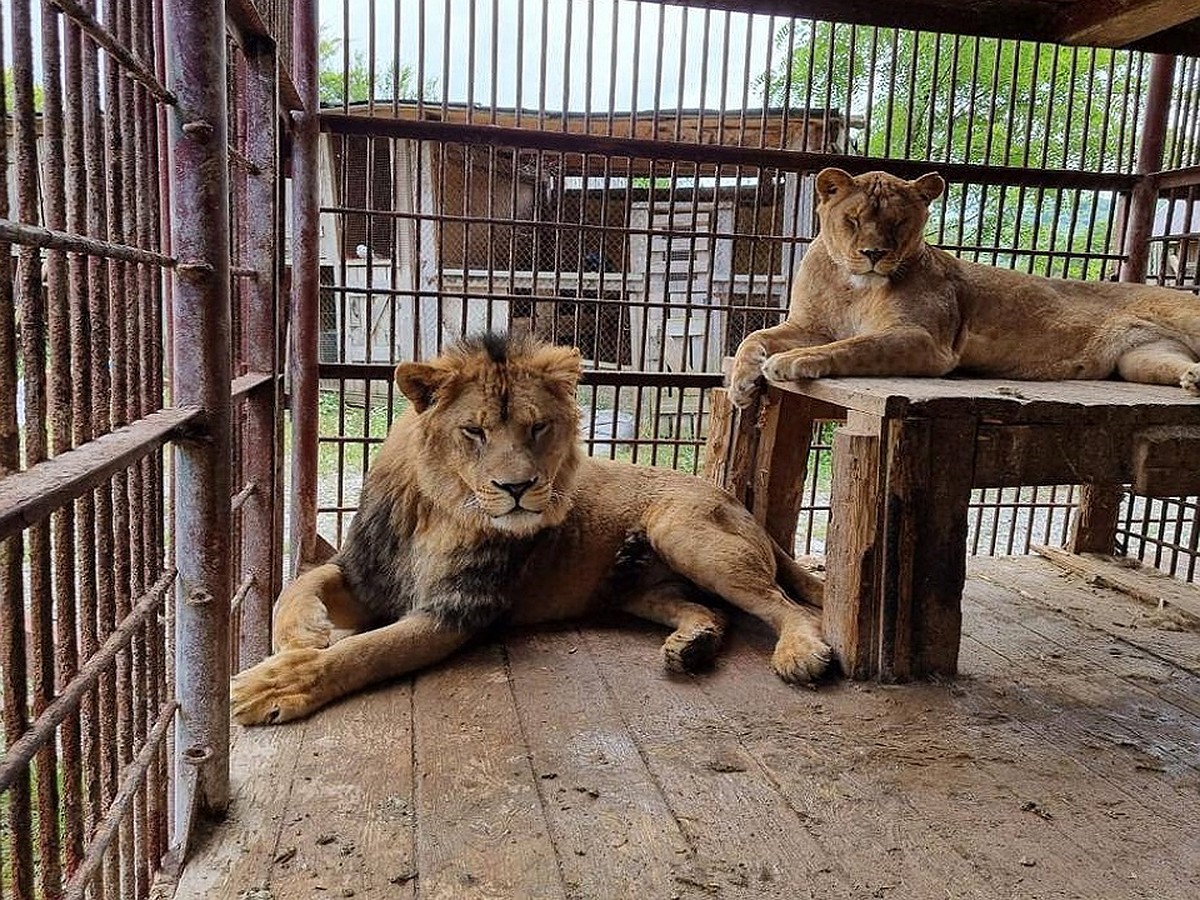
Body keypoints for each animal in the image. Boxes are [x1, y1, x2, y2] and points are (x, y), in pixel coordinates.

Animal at [234, 333, 835, 724]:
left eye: (539, 427)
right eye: (474, 431)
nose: (517, 487)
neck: (441, 511)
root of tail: (735, 500)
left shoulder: (457, 610)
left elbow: (363, 652)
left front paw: (278, 683)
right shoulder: (365, 572)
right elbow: (300, 584)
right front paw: (298, 635)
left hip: (687, 534)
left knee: (789, 606)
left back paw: (800, 653)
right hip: (637, 590)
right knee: (711, 611)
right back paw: (692, 645)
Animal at [720, 168, 1200, 408]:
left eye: (898, 222)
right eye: (853, 219)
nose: (874, 253)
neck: (853, 285)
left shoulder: (926, 341)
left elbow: (853, 345)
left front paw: (791, 361)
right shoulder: (811, 324)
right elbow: (753, 336)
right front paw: (742, 382)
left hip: (1185, 317)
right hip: (1142, 359)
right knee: (1172, 364)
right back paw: (1194, 378)